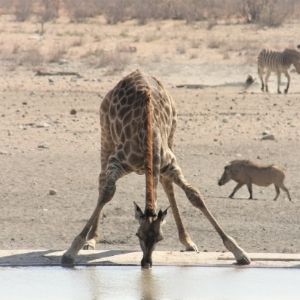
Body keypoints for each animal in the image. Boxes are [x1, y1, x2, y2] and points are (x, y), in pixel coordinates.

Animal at [61, 69, 251, 268]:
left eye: (160, 238)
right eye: (137, 234)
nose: (146, 263)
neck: (148, 138)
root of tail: (135, 72)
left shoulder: (171, 164)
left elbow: (195, 195)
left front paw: (239, 252)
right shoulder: (117, 162)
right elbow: (107, 192)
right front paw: (71, 251)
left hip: (172, 135)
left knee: (167, 184)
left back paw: (187, 241)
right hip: (106, 135)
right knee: (101, 179)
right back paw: (91, 241)